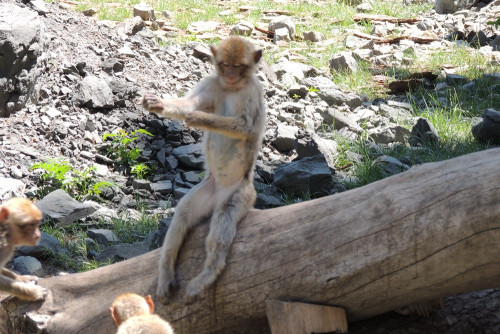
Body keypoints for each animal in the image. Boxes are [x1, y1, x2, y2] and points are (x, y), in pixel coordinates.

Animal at [141, 36, 266, 302]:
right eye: (225, 64)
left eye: (238, 67)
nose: (230, 74)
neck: (232, 88)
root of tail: (219, 191)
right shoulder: (212, 83)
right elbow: (187, 103)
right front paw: (158, 104)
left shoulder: (253, 92)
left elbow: (246, 127)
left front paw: (199, 118)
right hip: (206, 190)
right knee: (182, 215)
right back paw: (166, 270)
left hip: (240, 193)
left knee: (222, 223)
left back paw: (208, 274)